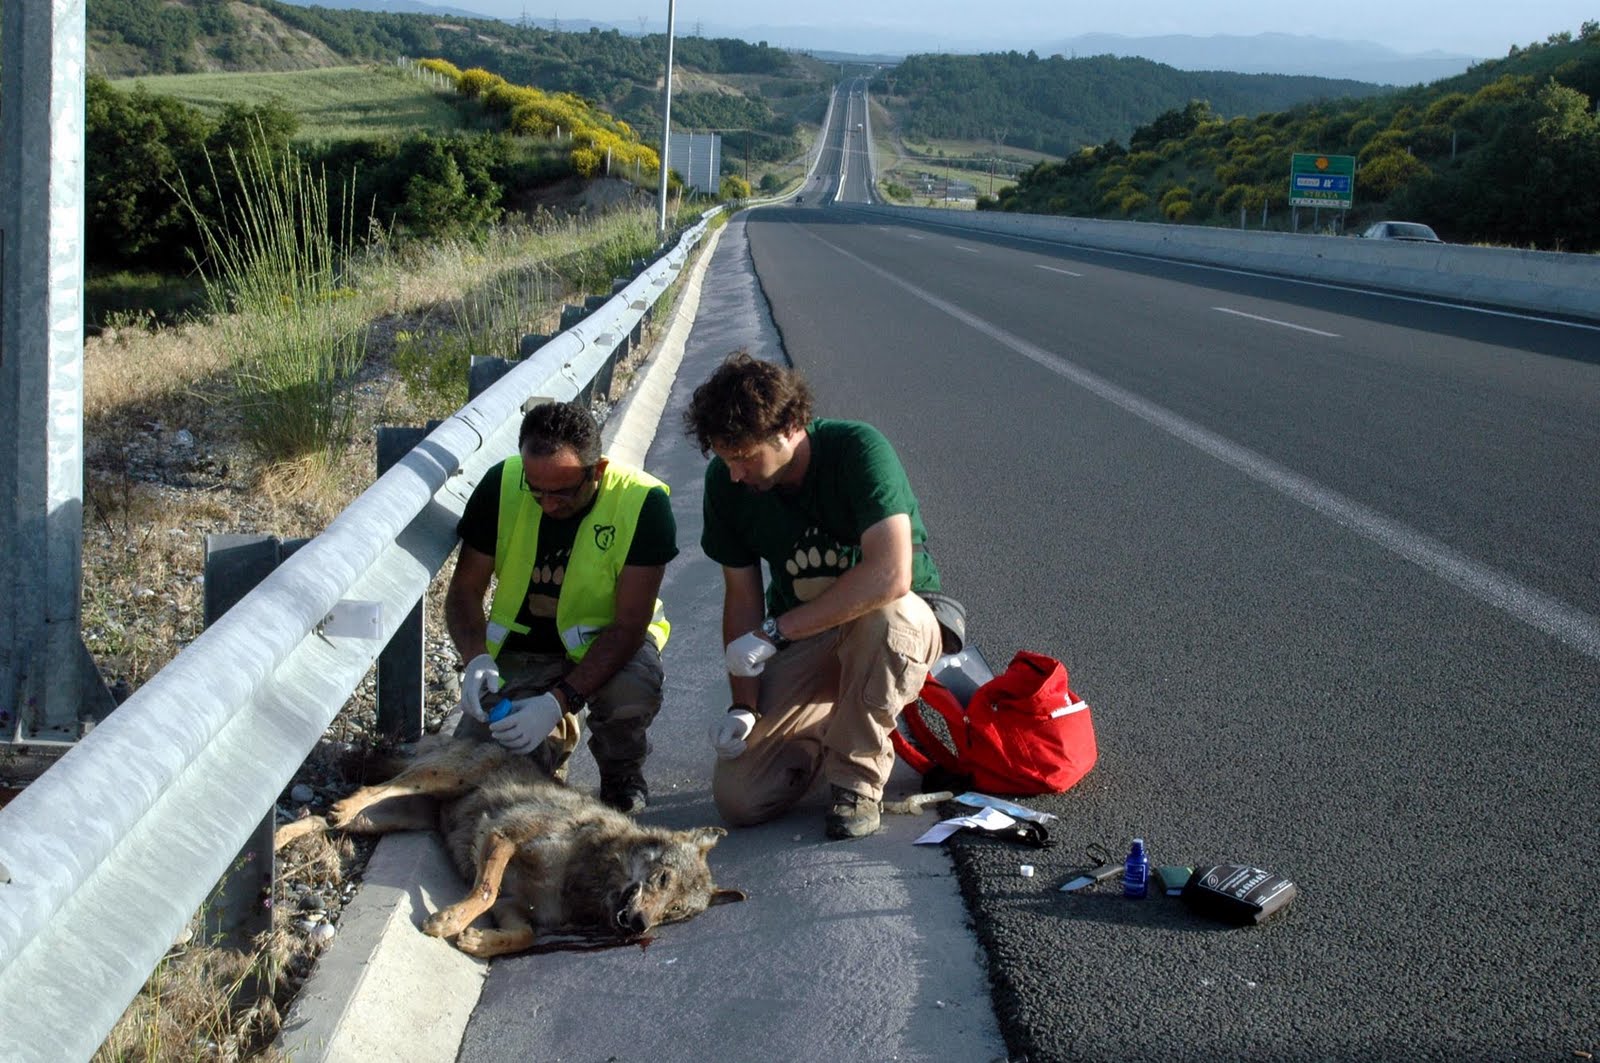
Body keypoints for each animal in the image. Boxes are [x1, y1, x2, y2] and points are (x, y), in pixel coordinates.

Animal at [276, 739, 742, 954]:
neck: (586, 873)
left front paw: (478, 942)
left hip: (389, 820)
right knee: (372, 787)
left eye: (675, 912)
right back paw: (335, 807)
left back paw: (284, 837)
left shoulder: (516, 907)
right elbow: (484, 890)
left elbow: (523, 935)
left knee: (323, 820)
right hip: (436, 780)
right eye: (662, 878)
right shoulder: (503, 835)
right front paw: (448, 921)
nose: (641, 924)